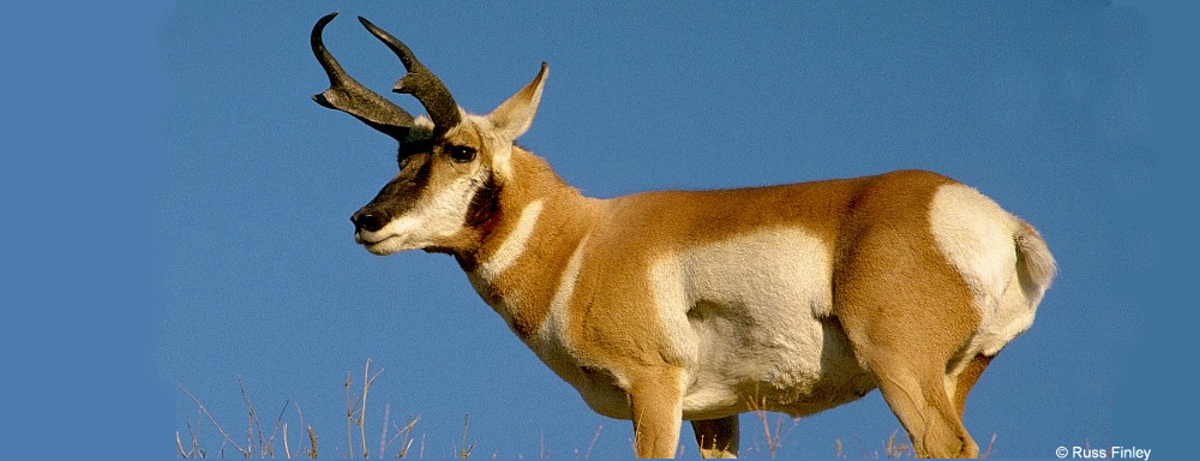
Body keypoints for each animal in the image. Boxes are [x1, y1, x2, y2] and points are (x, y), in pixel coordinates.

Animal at [311, 12, 1056, 459]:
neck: (581, 240)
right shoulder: (716, 414)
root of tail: (993, 217)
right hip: (953, 376)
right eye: (400, 154)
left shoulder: (655, 389)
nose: (364, 221)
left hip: (903, 371)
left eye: (460, 150)